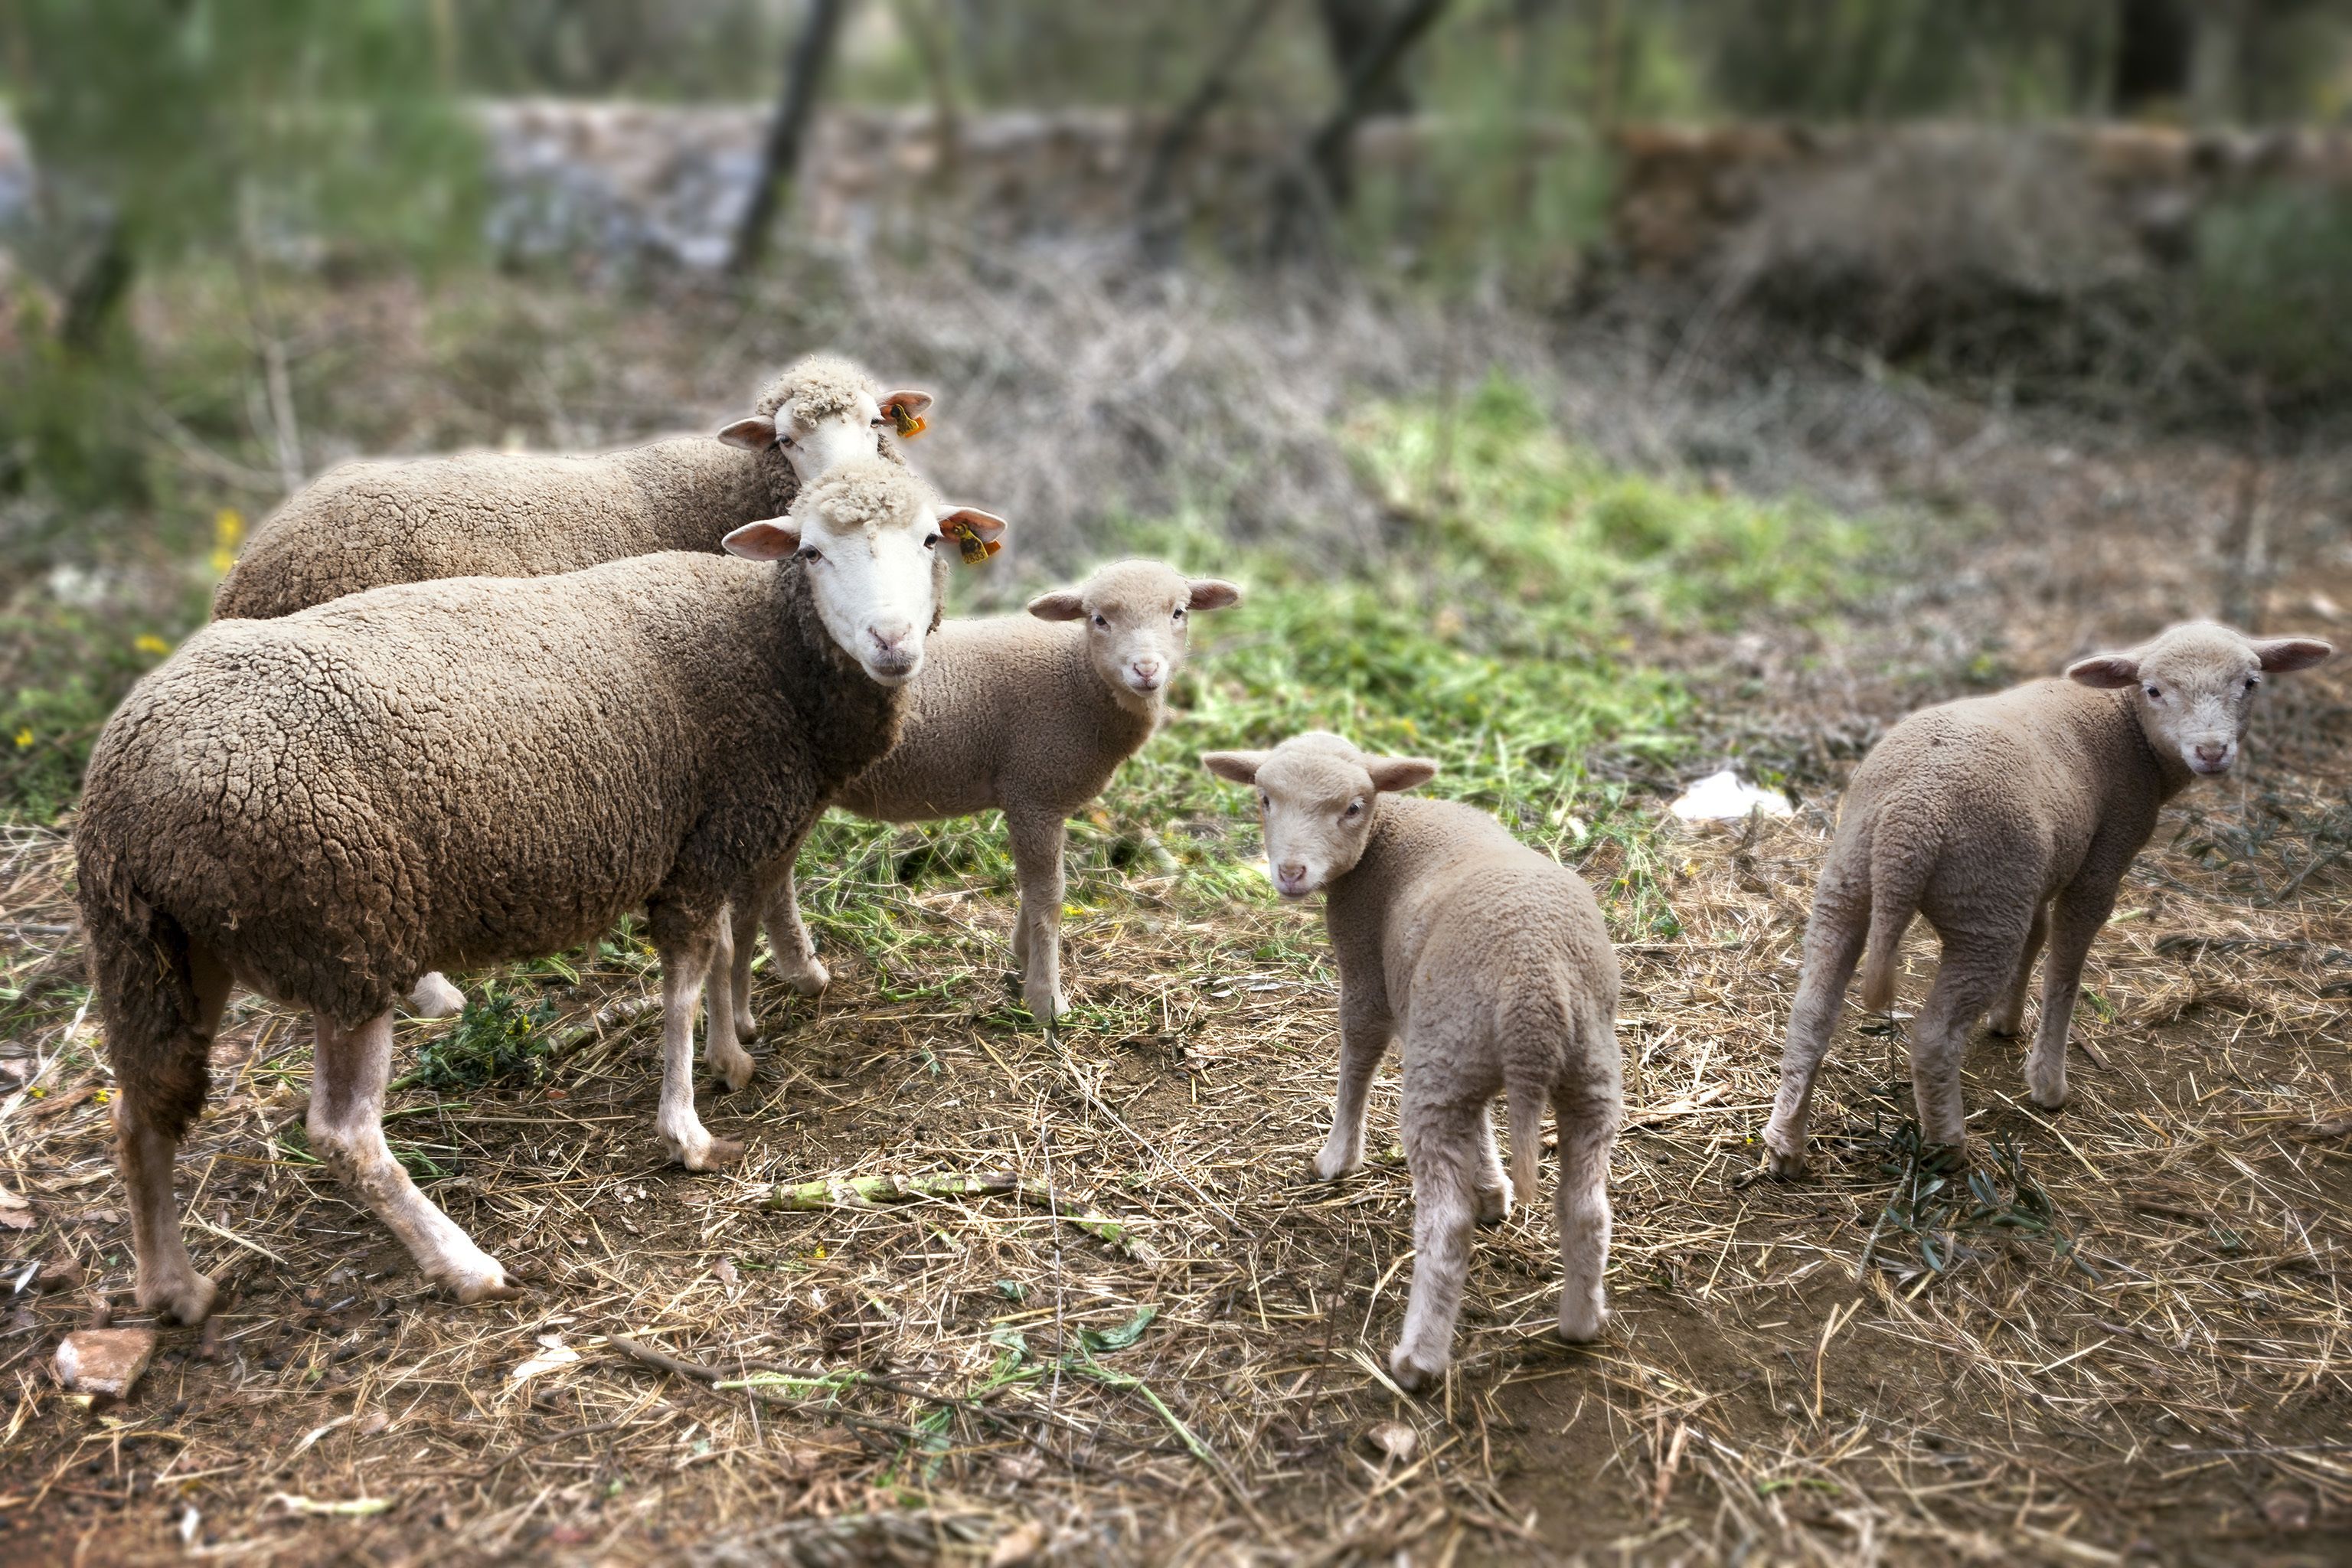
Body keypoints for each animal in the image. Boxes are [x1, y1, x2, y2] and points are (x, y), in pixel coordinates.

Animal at [75, 461, 1005, 1321]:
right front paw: (688, 1128)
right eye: (810, 550)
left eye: (930, 539)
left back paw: (173, 1286)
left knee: (140, 1111)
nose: (893, 641)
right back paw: (462, 1263)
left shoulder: (720, 832)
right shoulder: (703, 845)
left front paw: (733, 1055)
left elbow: (723, 954)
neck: (769, 645)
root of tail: (122, 789)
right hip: (346, 932)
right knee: (341, 1133)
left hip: (163, 951)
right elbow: (686, 979)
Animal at [729, 559, 1242, 1026]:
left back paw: (800, 973)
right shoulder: (1035, 790)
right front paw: (1047, 1002)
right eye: (1099, 619)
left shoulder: (1034, 798)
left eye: (1178, 612)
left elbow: (1034, 889)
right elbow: (1048, 896)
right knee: (768, 884)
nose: (1146, 669)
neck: (1079, 678)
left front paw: (1023, 957)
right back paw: (796, 978)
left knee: (774, 881)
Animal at [1201, 733, 1623, 1392]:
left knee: (1446, 1224)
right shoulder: (1447, 1039)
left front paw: (1337, 1158)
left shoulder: (1372, 978)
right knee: (1586, 1208)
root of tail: (1533, 991)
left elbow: (1358, 1054)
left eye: (1352, 807)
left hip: (1452, 1066)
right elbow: (1483, 1124)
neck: (1390, 825)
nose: (1291, 873)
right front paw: (1494, 1188)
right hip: (1583, 1068)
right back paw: (1581, 1323)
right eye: (1264, 798)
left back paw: (1417, 1357)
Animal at [1762, 621, 2334, 1174]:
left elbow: (2035, 939)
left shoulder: (2034, 874)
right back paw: (1948, 1145)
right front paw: (2047, 1083)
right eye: (2153, 689)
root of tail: (1910, 814)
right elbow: (2064, 970)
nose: (2212, 751)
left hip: (1862, 879)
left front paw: (2006, 1021)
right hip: (1984, 906)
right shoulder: (2102, 857)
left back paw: (1785, 1148)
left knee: (1810, 1012)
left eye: (2250, 683)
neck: (2129, 726)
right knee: (1933, 1035)